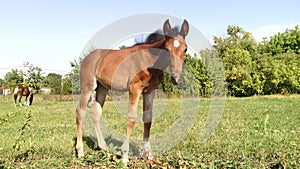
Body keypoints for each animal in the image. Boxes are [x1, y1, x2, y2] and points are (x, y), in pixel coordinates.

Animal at [75, 18, 188, 164]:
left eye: (185, 49)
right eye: (167, 49)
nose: (176, 78)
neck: (149, 61)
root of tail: (87, 58)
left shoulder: (150, 91)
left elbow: (148, 119)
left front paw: (149, 154)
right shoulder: (134, 88)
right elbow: (131, 118)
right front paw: (124, 156)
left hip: (102, 88)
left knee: (96, 112)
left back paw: (104, 147)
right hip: (88, 86)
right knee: (80, 111)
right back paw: (80, 152)